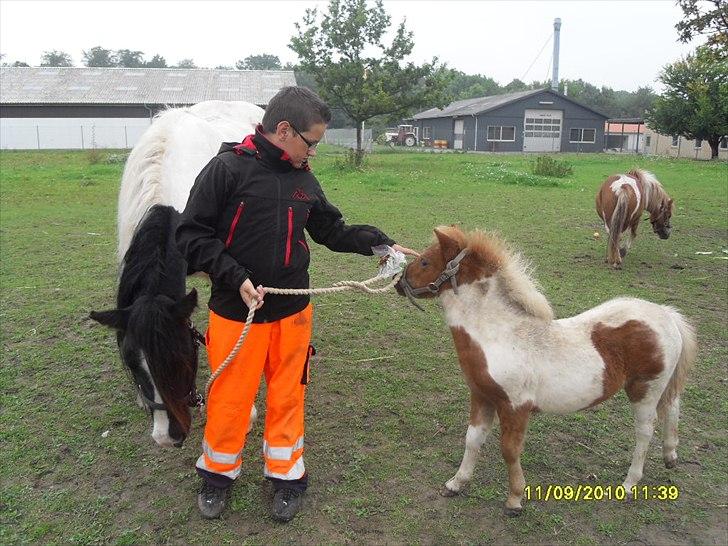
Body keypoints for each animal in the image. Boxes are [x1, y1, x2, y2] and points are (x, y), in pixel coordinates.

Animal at [396, 225, 696, 516]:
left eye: (425, 261)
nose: (399, 283)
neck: (498, 335)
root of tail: (666, 314)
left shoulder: (515, 406)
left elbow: (509, 449)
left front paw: (515, 500)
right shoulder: (482, 396)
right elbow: (472, 439)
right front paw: (456, 483)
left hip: (644, 388)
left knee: (645, 430)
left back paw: (629, 484)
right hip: (660, 385)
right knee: (673, 405)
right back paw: (670, 455)